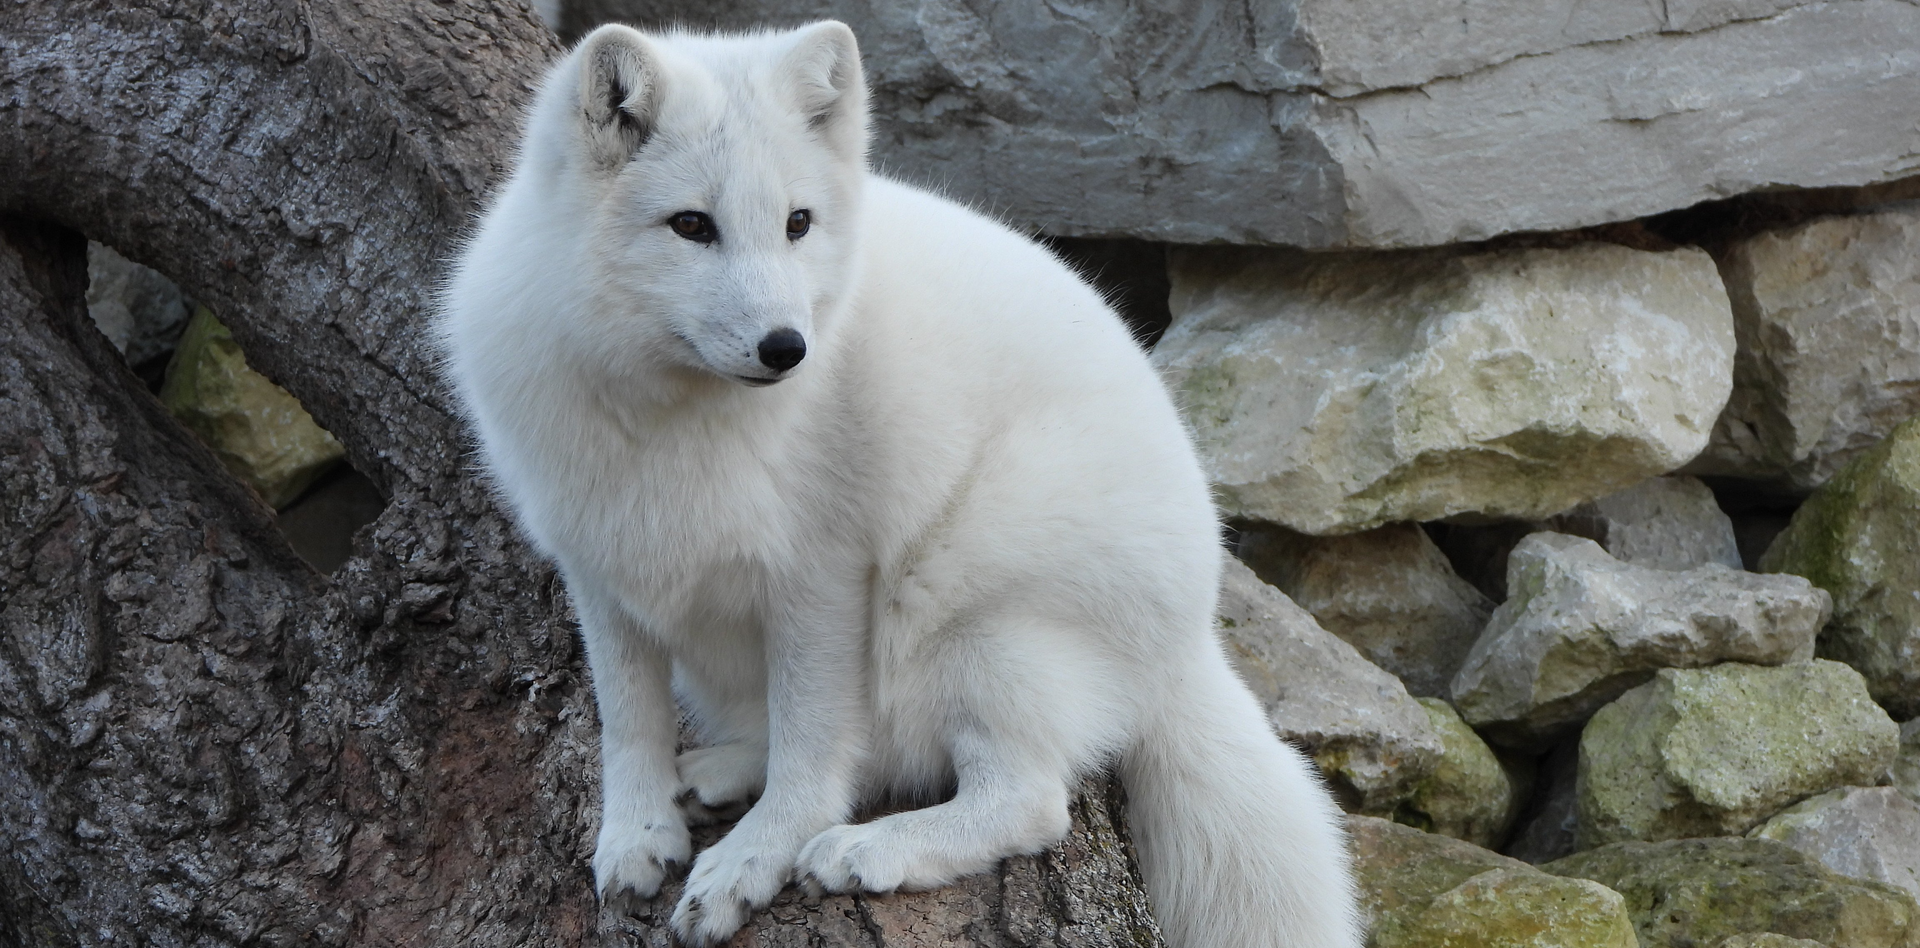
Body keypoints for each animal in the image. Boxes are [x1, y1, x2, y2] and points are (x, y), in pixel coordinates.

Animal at [437, 20, 1360, 948]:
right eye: (690, 224)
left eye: (798, 223)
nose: (787, 348)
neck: (670, 416)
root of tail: (1193, 644)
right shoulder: (598, 561)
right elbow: (628, 720)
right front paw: (634, 833)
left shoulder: (822, 572)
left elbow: (813, 741)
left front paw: (753, 862)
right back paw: (725, 768)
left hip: (965, 614)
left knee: (1026, 799)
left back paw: (865, 849)